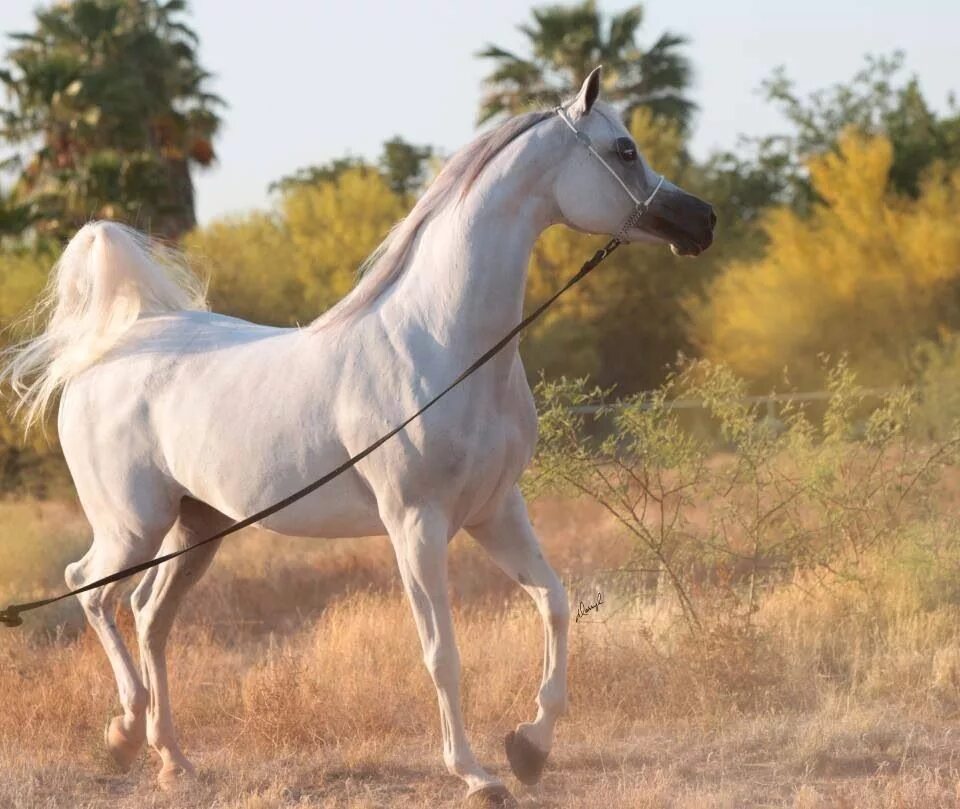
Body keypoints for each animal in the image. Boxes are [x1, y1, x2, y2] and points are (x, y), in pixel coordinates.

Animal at [1, 69, 712, 800]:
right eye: (624, 149)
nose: (702, 220)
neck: (447, 346)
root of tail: (118, 343)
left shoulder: (495, 511)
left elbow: (556, 603)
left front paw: (529, 748)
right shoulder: (416, 525)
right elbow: (442, 652)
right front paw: (476, 774)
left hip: (197, 527)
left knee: (148, 616)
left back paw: (171, 758)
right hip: (132, 526)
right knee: (91, 589)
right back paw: (122, 732)